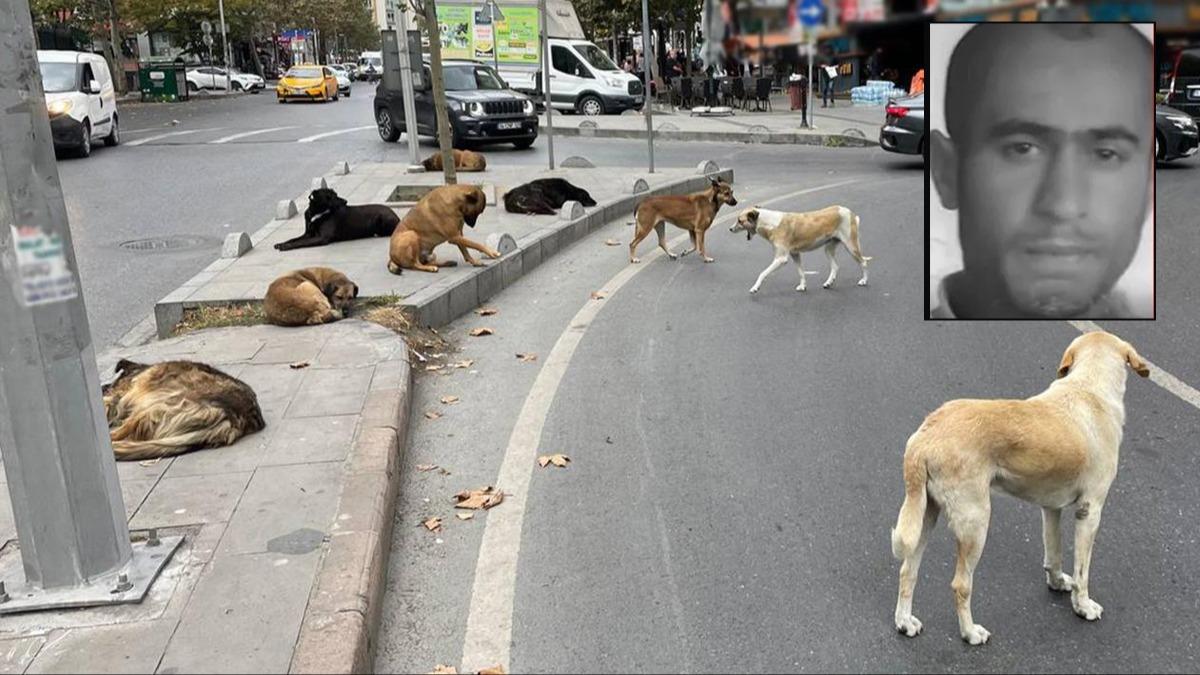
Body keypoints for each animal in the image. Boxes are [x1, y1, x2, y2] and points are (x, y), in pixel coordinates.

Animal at [729, 201, 873, 291]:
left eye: (739, 221)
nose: (730, 229)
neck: (770, 223)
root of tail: (849, 212)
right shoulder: (795, 254)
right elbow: (801, 272)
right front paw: (803, 286)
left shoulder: (781, 259)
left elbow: (762, 273)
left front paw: (755, 287)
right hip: (828, 249)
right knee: (835, 267)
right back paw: (828, 282)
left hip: (851, 246)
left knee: (864, 262)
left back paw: (864, 281)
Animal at [892, 329, 1152, 643]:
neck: (1089, 388)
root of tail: (925, 437)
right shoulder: (1090, 511)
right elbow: (1082, 572)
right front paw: (1083, 606)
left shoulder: (1051, 508)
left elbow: (1053, 553)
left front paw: (1057, 583)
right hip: (975, 523)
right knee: (960, 585)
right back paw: (970, 632)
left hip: (925, 515)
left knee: (908, 570)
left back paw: (904, 622)